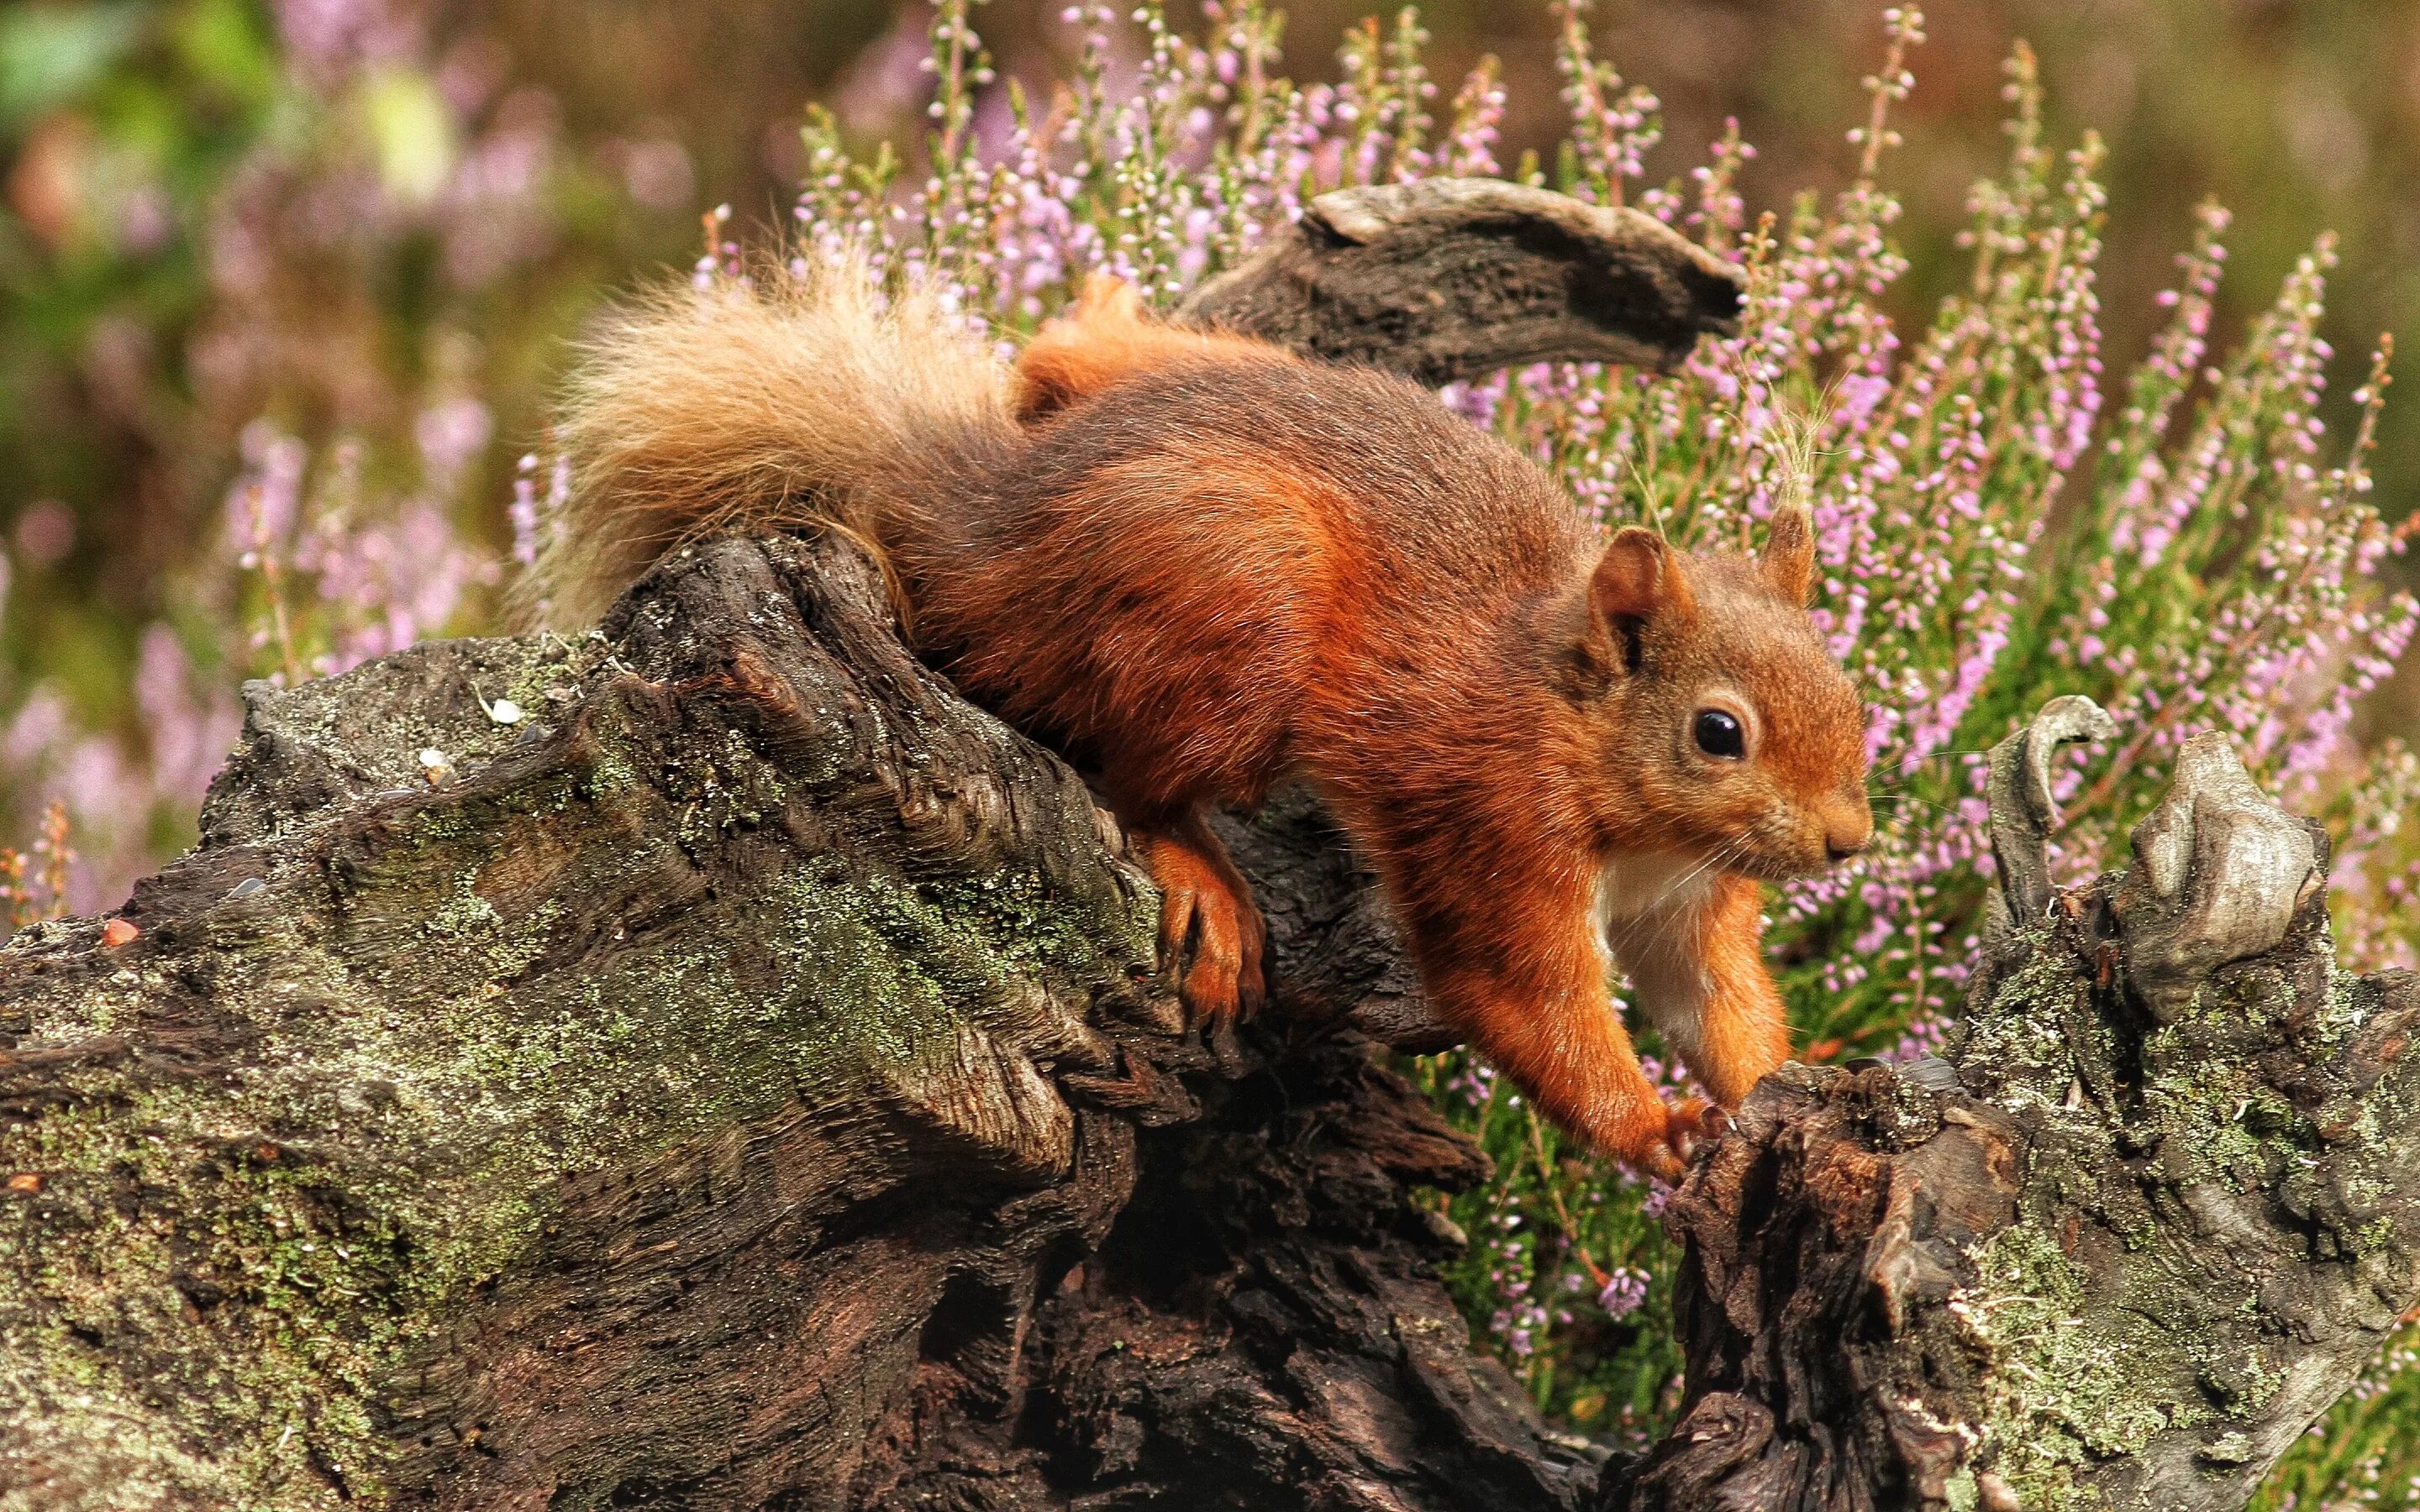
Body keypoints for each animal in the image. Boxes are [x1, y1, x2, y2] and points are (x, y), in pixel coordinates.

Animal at [544, 265, 1868, 1175]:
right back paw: (1204, 879)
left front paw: (1794, 1080)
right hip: (1241, 580)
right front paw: (1655, 1128)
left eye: (1852, 698)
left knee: (1071, 355)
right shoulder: (1493, 826)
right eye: (1718, 732)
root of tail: (976, 521)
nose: (1847, 842)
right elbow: (1521, 999)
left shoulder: (1689, 904)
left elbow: (1719, 1002)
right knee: (1129, 777)